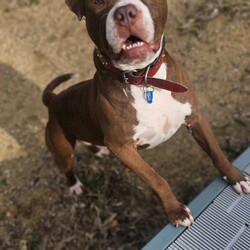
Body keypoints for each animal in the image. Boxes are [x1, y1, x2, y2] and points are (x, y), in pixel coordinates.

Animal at [42, 0, 249, 227]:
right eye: (98, 2)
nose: (125, 13)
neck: (144, 78)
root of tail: (54, 100)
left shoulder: (195, 118)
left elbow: (216, 152)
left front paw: (236, 177)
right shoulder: (123, 148)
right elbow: (156, 179)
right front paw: (176, 211)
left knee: (89, 142)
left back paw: (98, 151)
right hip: (62, 147)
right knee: (67, 166)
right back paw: (74, 185)